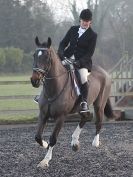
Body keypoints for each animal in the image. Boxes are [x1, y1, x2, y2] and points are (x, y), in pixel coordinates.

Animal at [30, 36, 114, 168]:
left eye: (47, 57)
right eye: (34, 55)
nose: (34, 80)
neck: (53, 88)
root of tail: (105, 72)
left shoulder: (61, 117)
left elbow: (53, 138)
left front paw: (45, 160)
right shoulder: (43, 114)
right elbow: (38, 136)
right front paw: (45, 144)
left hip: (99, 104)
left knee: (98, 121)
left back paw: (95, 142)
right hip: (81, 107)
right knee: (86, 117)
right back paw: (75, 143)